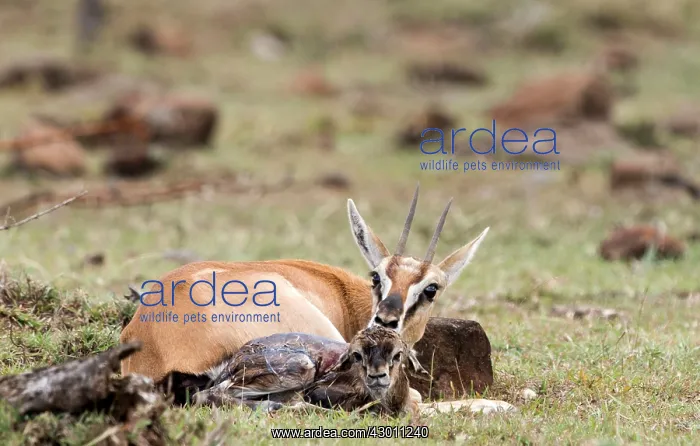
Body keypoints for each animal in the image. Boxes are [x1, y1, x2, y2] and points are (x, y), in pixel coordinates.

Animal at [192, 326, 417, 419]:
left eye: (398, 354)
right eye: (357, 355)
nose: (377, 376)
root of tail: (235, 358)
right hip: (301, 366)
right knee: (204, 394)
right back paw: (270, 405)